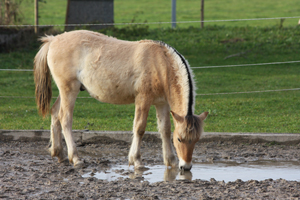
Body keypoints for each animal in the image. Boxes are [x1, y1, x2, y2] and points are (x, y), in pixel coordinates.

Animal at [34, 29, 207, 170]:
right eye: (179, 139)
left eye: (196, 139)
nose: (186, 166)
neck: (161, 63)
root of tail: (53, 40)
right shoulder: (143, 99)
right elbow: (139, 128)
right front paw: (136, 161)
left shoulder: (161, 103)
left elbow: (164, 129)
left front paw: (171, 161)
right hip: (69, 90)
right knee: (65, 118)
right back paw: (75, 158)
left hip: (64, 92)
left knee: (55, 113)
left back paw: (59, 154)